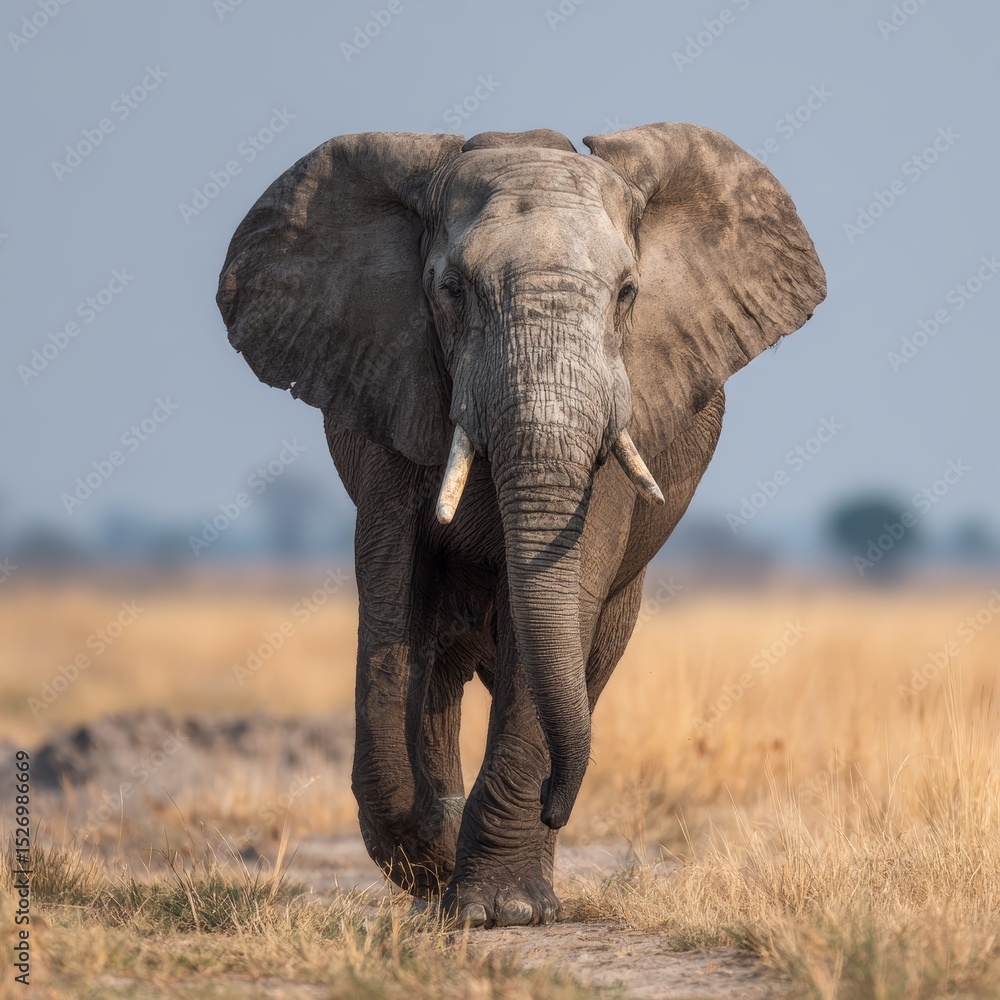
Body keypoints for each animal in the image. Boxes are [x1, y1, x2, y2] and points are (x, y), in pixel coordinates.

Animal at [217, 123, 825, 928]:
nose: (557, 806)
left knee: (581, 656)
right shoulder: (390, 390)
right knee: (439, 660)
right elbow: (390, 595)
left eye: (628, 294)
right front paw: (435, 858)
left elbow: (566, 600)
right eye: (452, 290)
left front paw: (499, 909)